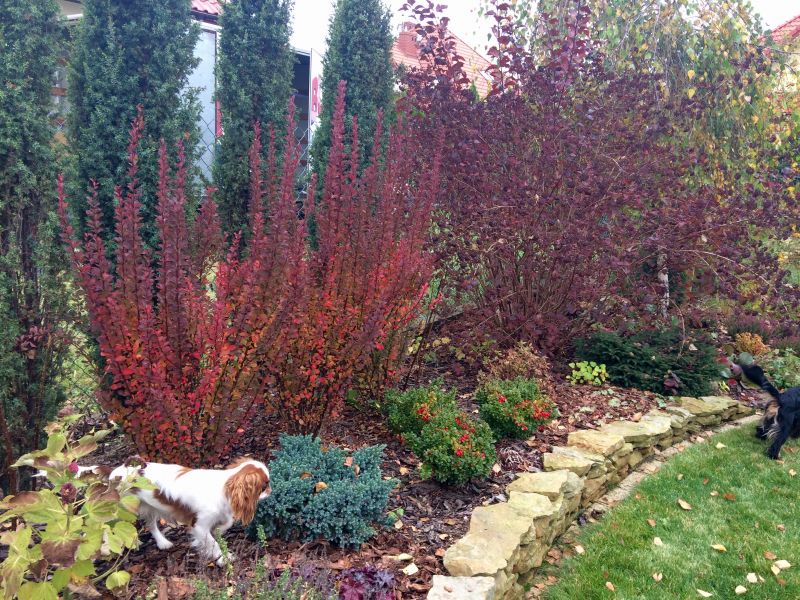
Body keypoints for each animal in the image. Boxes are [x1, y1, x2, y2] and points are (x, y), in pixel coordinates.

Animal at [110, 457, 270, 566]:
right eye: (264, 487)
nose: (271, 491)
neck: (225, 485)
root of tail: (121, 470)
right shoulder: (199, 525)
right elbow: (213, 543)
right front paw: (223, 558)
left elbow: (225, 525)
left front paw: (218, 531)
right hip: (126, 508)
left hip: (149, 508)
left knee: (151, 525)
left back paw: (162, 543)